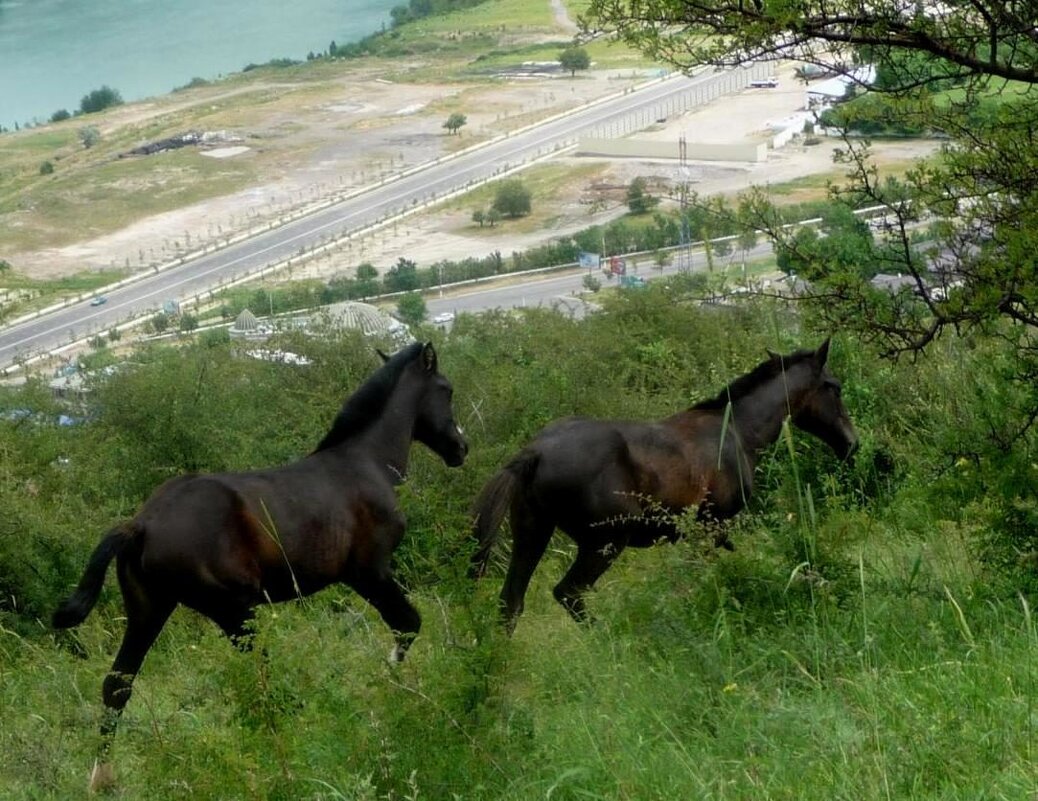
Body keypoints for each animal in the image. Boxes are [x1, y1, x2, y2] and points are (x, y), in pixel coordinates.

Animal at [52, 340, 467, 792]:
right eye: (446, 389)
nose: (460, 449)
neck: (365, 464)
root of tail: (140, 525)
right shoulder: (369, 572)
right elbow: (407, 623)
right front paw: (390, 685)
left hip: (151, 610)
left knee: (117, 684)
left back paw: (102, 777)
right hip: (233, 611)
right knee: (260, 674)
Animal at [473, 338, 859, 630]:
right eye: (835, 388)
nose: (851, 443)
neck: (736, 431)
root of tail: (534, 452)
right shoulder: (714, 524)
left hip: (532, 534)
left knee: (510, 602)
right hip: (604, 543)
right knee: (568, 592)